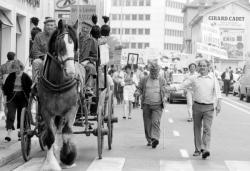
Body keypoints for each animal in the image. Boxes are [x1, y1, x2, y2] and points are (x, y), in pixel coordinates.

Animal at [38, 19, 82, 170]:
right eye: (61, 45)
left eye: (74, 46)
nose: (71, 72)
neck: (57, 83)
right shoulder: (46, 111)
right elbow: (51, 136)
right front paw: (51, 163)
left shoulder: (71, 109)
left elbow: (67, 133)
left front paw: (68, 156)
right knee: (55, 131)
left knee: (63, 130)